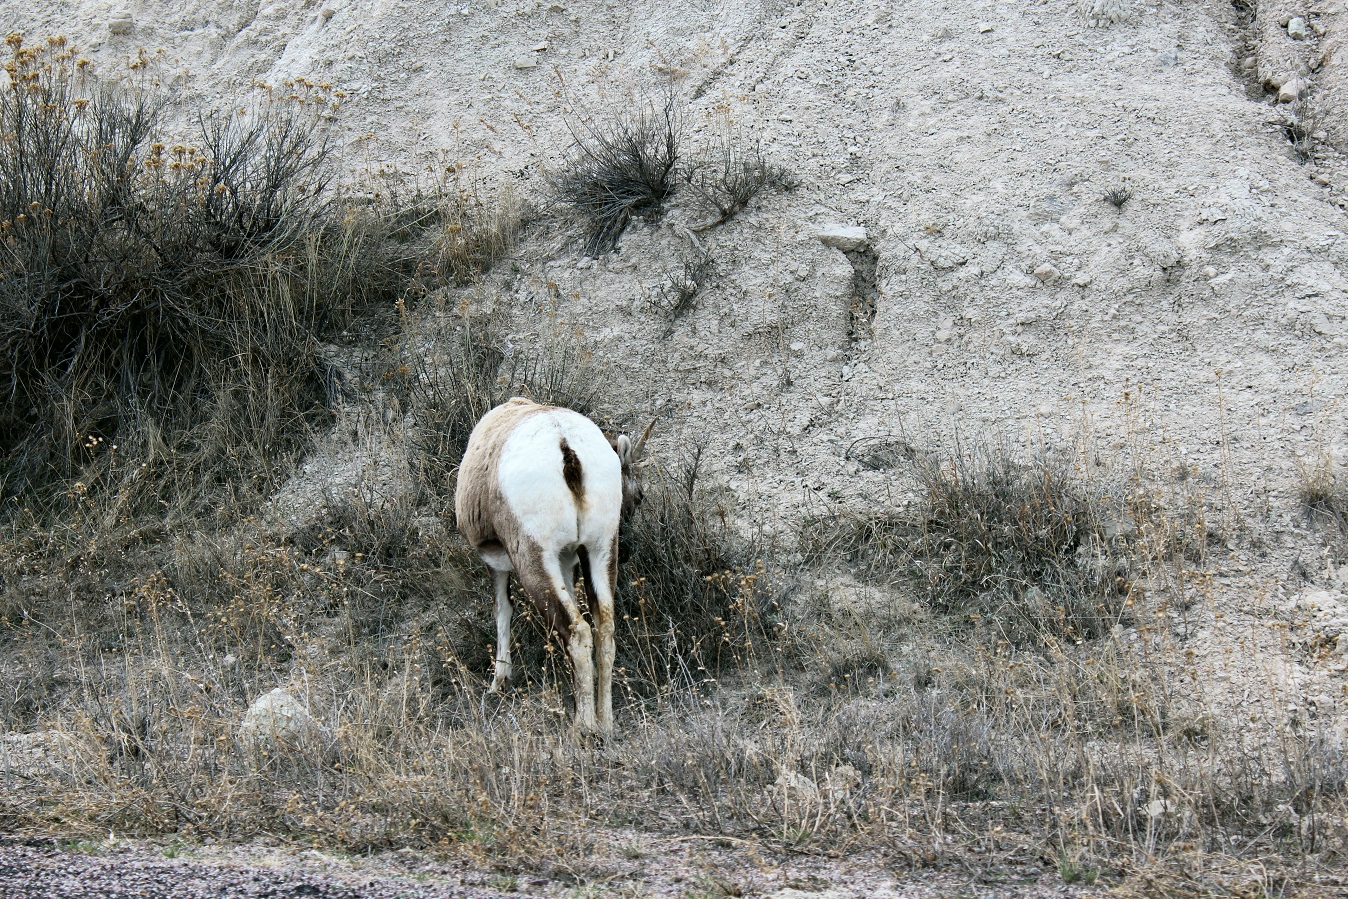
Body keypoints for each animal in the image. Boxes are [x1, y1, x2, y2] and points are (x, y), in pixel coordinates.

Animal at [454, 397, 650, 736]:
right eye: (637, 496)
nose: (627, 551)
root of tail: (564, 444)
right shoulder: (568, 561)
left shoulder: (498, 563)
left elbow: (502, 610)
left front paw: (498, 682)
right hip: (599, 551)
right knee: (604, 628)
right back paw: (606, 724)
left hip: (536, 561)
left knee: (576, 631)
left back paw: (584, 730)